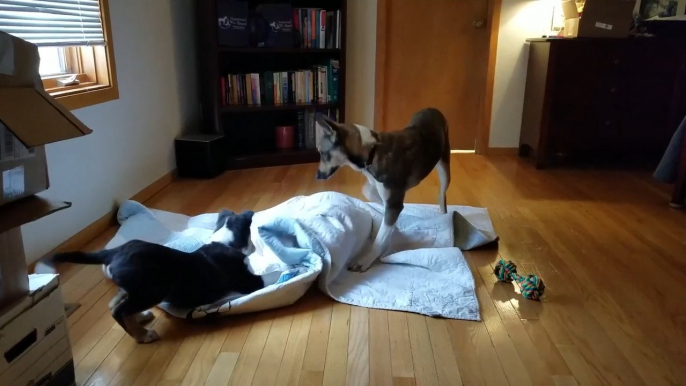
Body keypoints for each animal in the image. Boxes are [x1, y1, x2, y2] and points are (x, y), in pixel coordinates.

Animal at [38, 210, 264, 342]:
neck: (225, 241)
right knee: (118, 310)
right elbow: (265, 278)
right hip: (154, 289)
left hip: (135, 287)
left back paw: (140, 318)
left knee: (115, 304)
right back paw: (143, 335)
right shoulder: (249, 282)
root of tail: (113, 252)